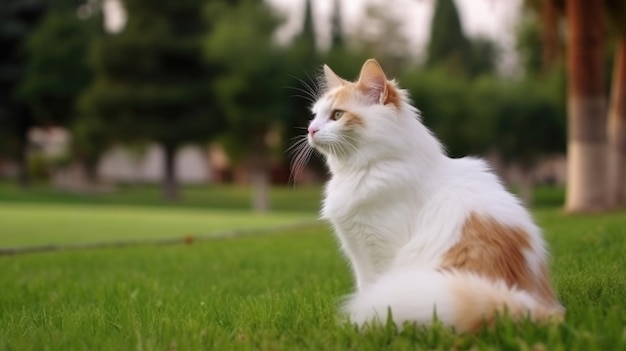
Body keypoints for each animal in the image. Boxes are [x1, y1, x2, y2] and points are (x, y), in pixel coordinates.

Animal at [294, 59, 564, 332]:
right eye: (314, 115)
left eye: (337, 115)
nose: (310, 129)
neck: (365, 171)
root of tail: (529, 302)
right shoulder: (359, 251)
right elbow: (365, 288)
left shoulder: (379, 250)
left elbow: (371, 290)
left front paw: (364, 326)